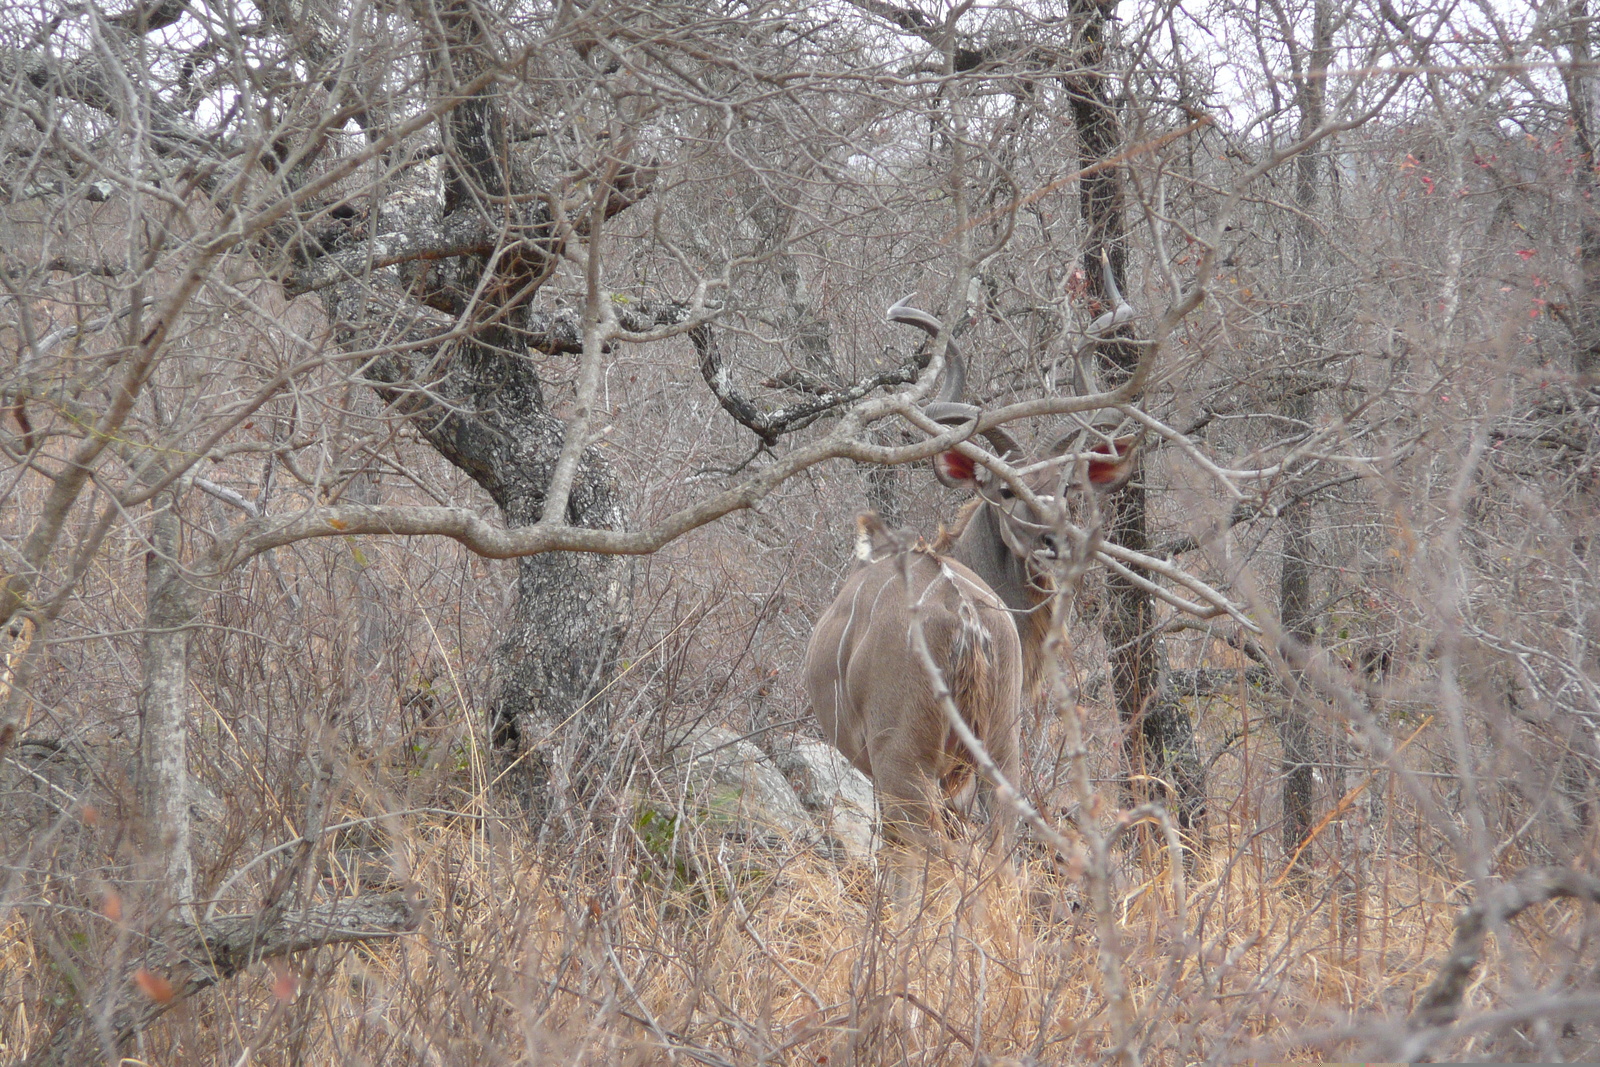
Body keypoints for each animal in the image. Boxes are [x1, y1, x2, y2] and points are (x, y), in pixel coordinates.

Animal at [806, 295, 1132, 857]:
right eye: (1005, 490)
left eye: (1068, 489)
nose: (1053, 542)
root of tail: (965, 621)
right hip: (999, 753)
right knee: (1001, 847)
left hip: (906, 765)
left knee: (918, 851)